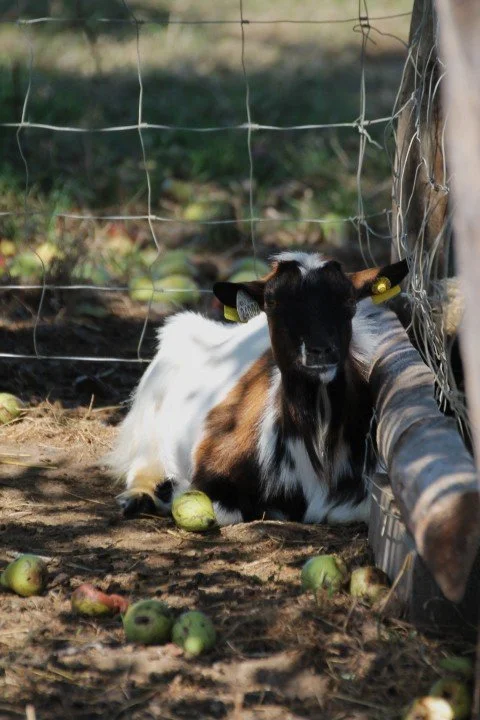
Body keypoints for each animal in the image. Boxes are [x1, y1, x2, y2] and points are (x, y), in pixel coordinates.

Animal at [108, 251, 408, 525]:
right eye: (272, 302)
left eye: (349, 299)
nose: (320, 350)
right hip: (147, 427)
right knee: (142, 464)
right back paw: (138, 497)